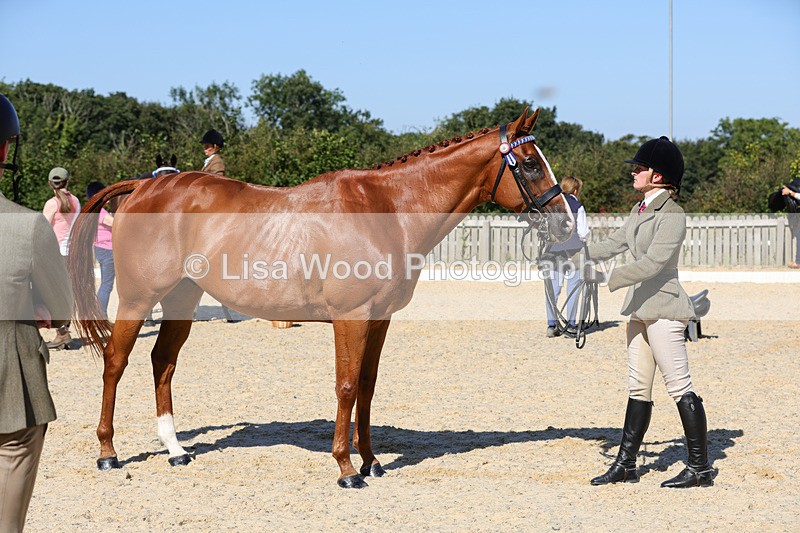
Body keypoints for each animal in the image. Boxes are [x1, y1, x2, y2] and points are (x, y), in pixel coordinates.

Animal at [68, 108, 574, 488]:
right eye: (531, 163)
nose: (566, 220)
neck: (387, 210)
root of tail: (145, 185)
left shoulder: (379, 319)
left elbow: (367, 386)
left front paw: (372, 461)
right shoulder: (351, 317)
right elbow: (346, 386)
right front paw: (347, 468)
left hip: (182, 300)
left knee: (163, 362)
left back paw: (176, 449)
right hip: (139, 299)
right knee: (116, 361)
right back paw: (108, 452)